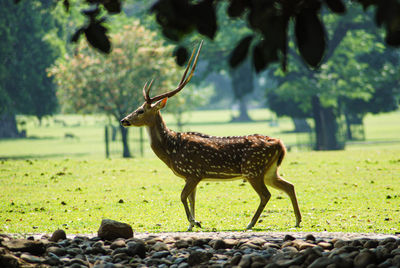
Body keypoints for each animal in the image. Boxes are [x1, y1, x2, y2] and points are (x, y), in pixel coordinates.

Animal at [120, 42, 302, 230]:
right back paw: (297, 221)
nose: (124, 120)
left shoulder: (194, 172)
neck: (171, 150)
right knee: (289, 186)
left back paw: (250, 223)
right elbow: (192, 199)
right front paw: (192, 225)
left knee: (266, 195)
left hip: (253, 169)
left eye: (141, 111)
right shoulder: (190, 176)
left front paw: (194, 222)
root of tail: (280, 144)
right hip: (270, 170)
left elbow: (183, 196)